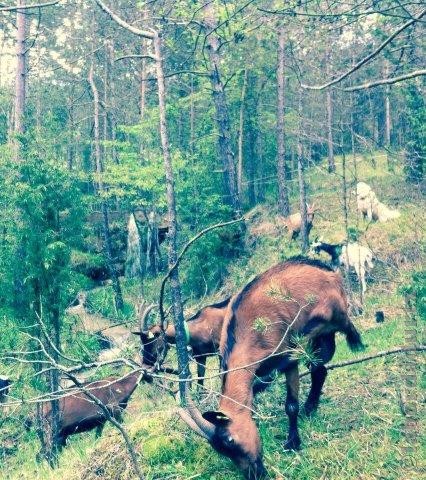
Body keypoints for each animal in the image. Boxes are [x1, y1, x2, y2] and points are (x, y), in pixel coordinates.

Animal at [181, 256, 364, 478]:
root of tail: (325, 269)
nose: (255, 475)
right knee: (319, 369)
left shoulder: (288, 357)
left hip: (328, 320)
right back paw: (310, 407)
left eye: (230, 439)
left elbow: (291, 405)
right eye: (223, 452)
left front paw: (293, 442)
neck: (245, 331)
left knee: (338, 335)